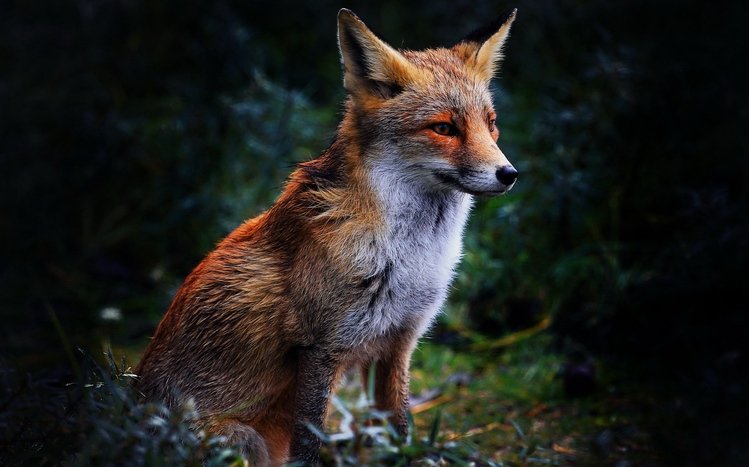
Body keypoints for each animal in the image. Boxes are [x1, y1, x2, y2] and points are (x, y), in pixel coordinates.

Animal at [135, 8, 518, 466]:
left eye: (491, 125)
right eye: (443, 128)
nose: (509, 174)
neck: (410, 257)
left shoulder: (397, 344)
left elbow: (401, 428)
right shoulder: (321, 348)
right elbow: (308, 442)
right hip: (243, 442)